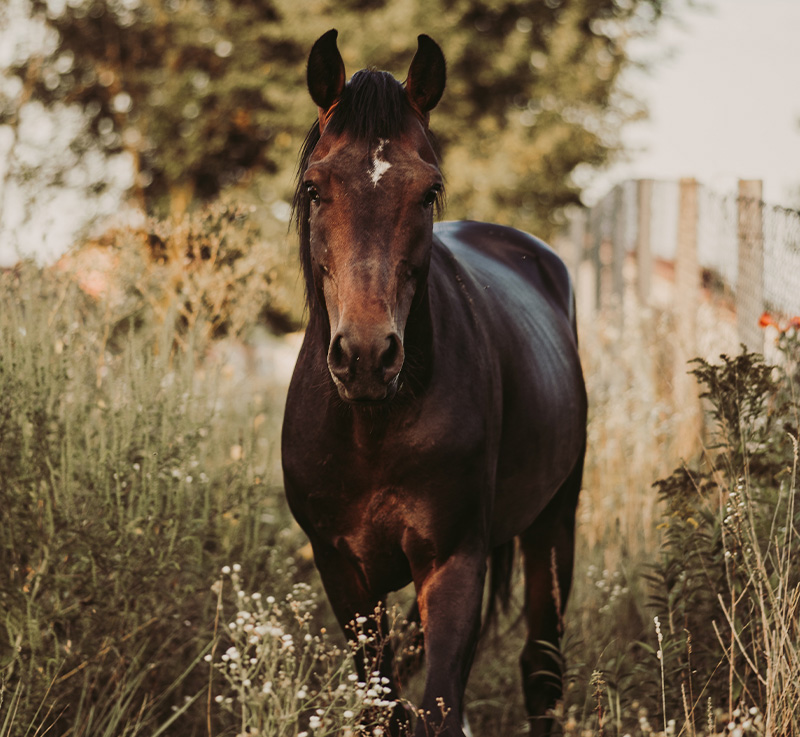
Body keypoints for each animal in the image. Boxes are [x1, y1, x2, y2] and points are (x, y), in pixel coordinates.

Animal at [281, 30, 587, 737]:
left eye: (428, 192)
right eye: (314, 189)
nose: (367, 356)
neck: (371, 427)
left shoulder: (454, 563)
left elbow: (439, 707)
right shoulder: (343, 571)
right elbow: (383, 707)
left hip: (554, 523)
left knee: (542, 669)